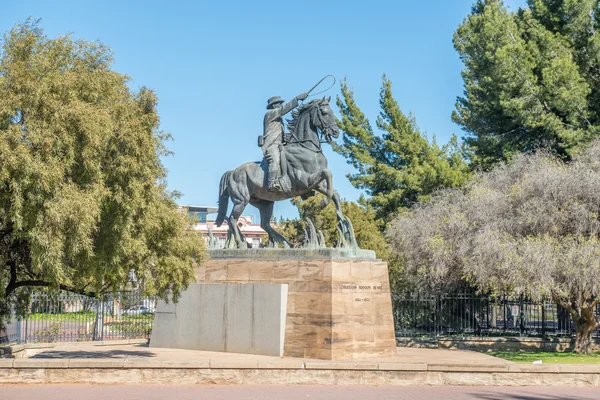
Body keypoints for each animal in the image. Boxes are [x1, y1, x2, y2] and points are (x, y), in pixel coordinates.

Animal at [216, 96, 344, 247]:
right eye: (324, 112)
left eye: (332, 112)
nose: (336, 132)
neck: (307, 148)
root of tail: (232, 172)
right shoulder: (305, 181)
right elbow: (327, 174)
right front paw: (323, 202)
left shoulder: (318, 184)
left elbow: (334, 192)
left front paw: (341, 218)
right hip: (241, 201)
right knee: (232, 219)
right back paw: (242, 244)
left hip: (264, 203)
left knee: (265, 224)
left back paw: (284, 242)